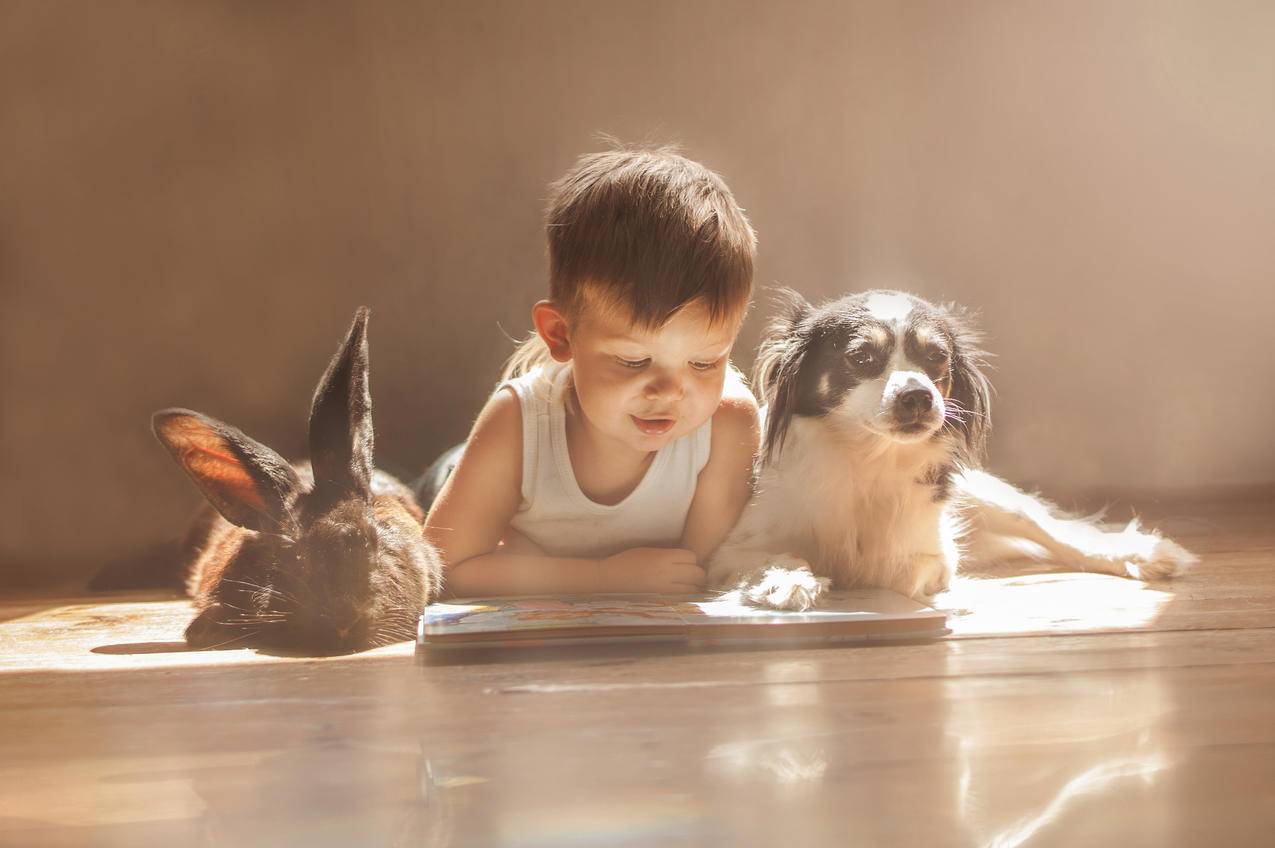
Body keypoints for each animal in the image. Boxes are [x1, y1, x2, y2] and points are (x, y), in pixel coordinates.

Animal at [708, 290, 1193, 609]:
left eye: (936, 357)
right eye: (861, 358)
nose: (919, 396)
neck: (868, 461)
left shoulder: (933, 554)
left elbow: (902, 569)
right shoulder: (730, 550)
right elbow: (779, 555)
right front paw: (786, 581)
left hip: (989, 497)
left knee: (1054, 530)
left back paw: (1138, 554)